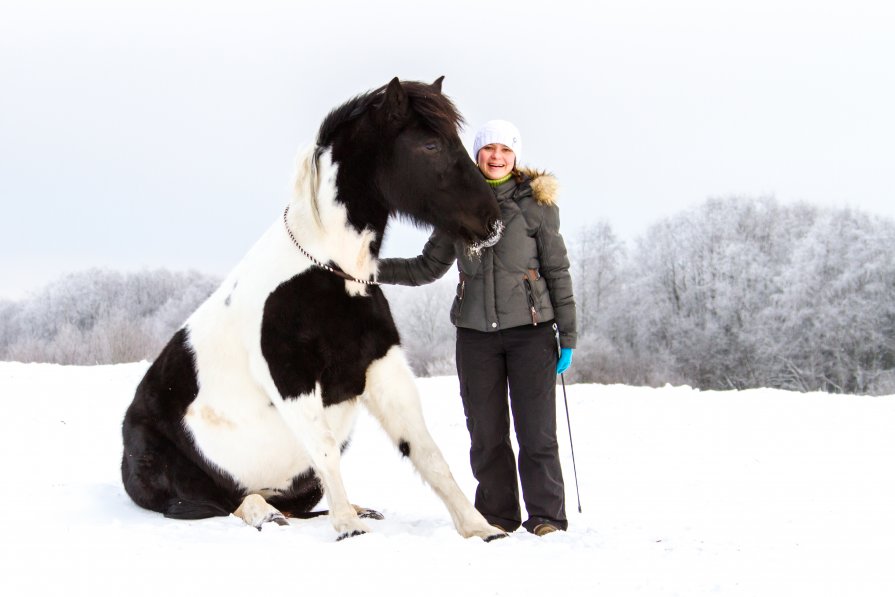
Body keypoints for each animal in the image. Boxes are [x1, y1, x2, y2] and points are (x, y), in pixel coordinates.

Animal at [121, 75, 508, 540]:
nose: (491, 221)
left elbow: (427, 452)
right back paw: (266, 514)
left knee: (287, 505)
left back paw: (353, 509)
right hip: (180, 480)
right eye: (430, 145)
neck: (332, 272)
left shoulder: (384, 368)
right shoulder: (292, 377)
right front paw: (348, 528)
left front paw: (480, 528)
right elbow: (324, 449)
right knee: (222, 502)